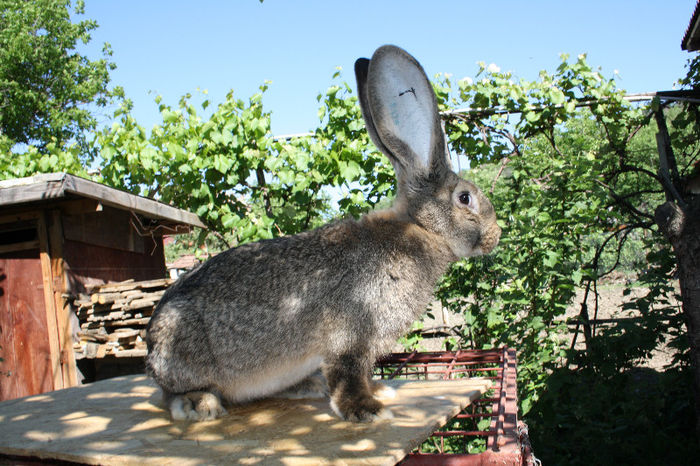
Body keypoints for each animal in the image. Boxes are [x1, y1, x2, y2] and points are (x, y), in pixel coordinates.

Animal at [145, 45, 500, 424]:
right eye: (465, 198)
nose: (496, 235)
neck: (420, 228)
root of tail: (151, 347)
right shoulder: (350, 338)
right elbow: (348, 376)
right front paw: (367, 411)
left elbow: (364, 374)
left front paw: (379, 392)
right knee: (172, 394)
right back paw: (201, 406)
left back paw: (307, 387)